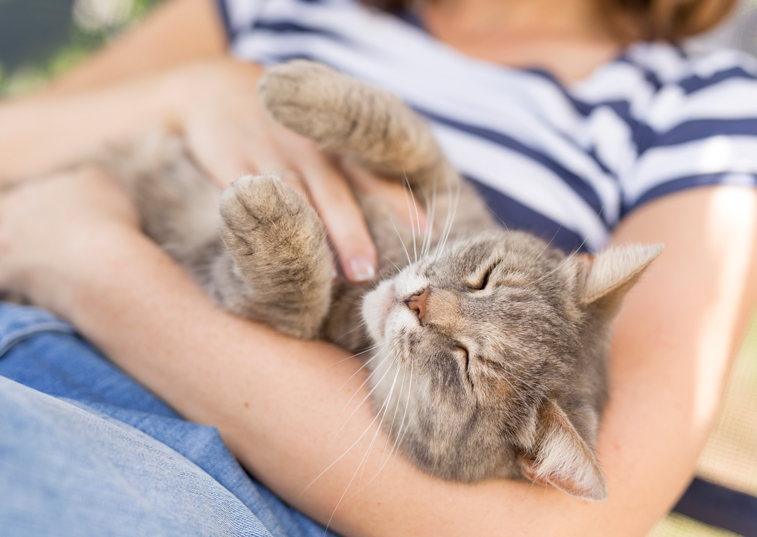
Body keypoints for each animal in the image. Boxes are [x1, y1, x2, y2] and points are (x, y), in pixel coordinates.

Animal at [105, 60, 660, 500]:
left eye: (466, 365)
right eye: (484, 278)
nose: (417, 300)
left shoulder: (268, 309)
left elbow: (291, 297)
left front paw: (271, 218)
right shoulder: (443, 187)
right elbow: (404, 133)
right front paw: (296, 86)